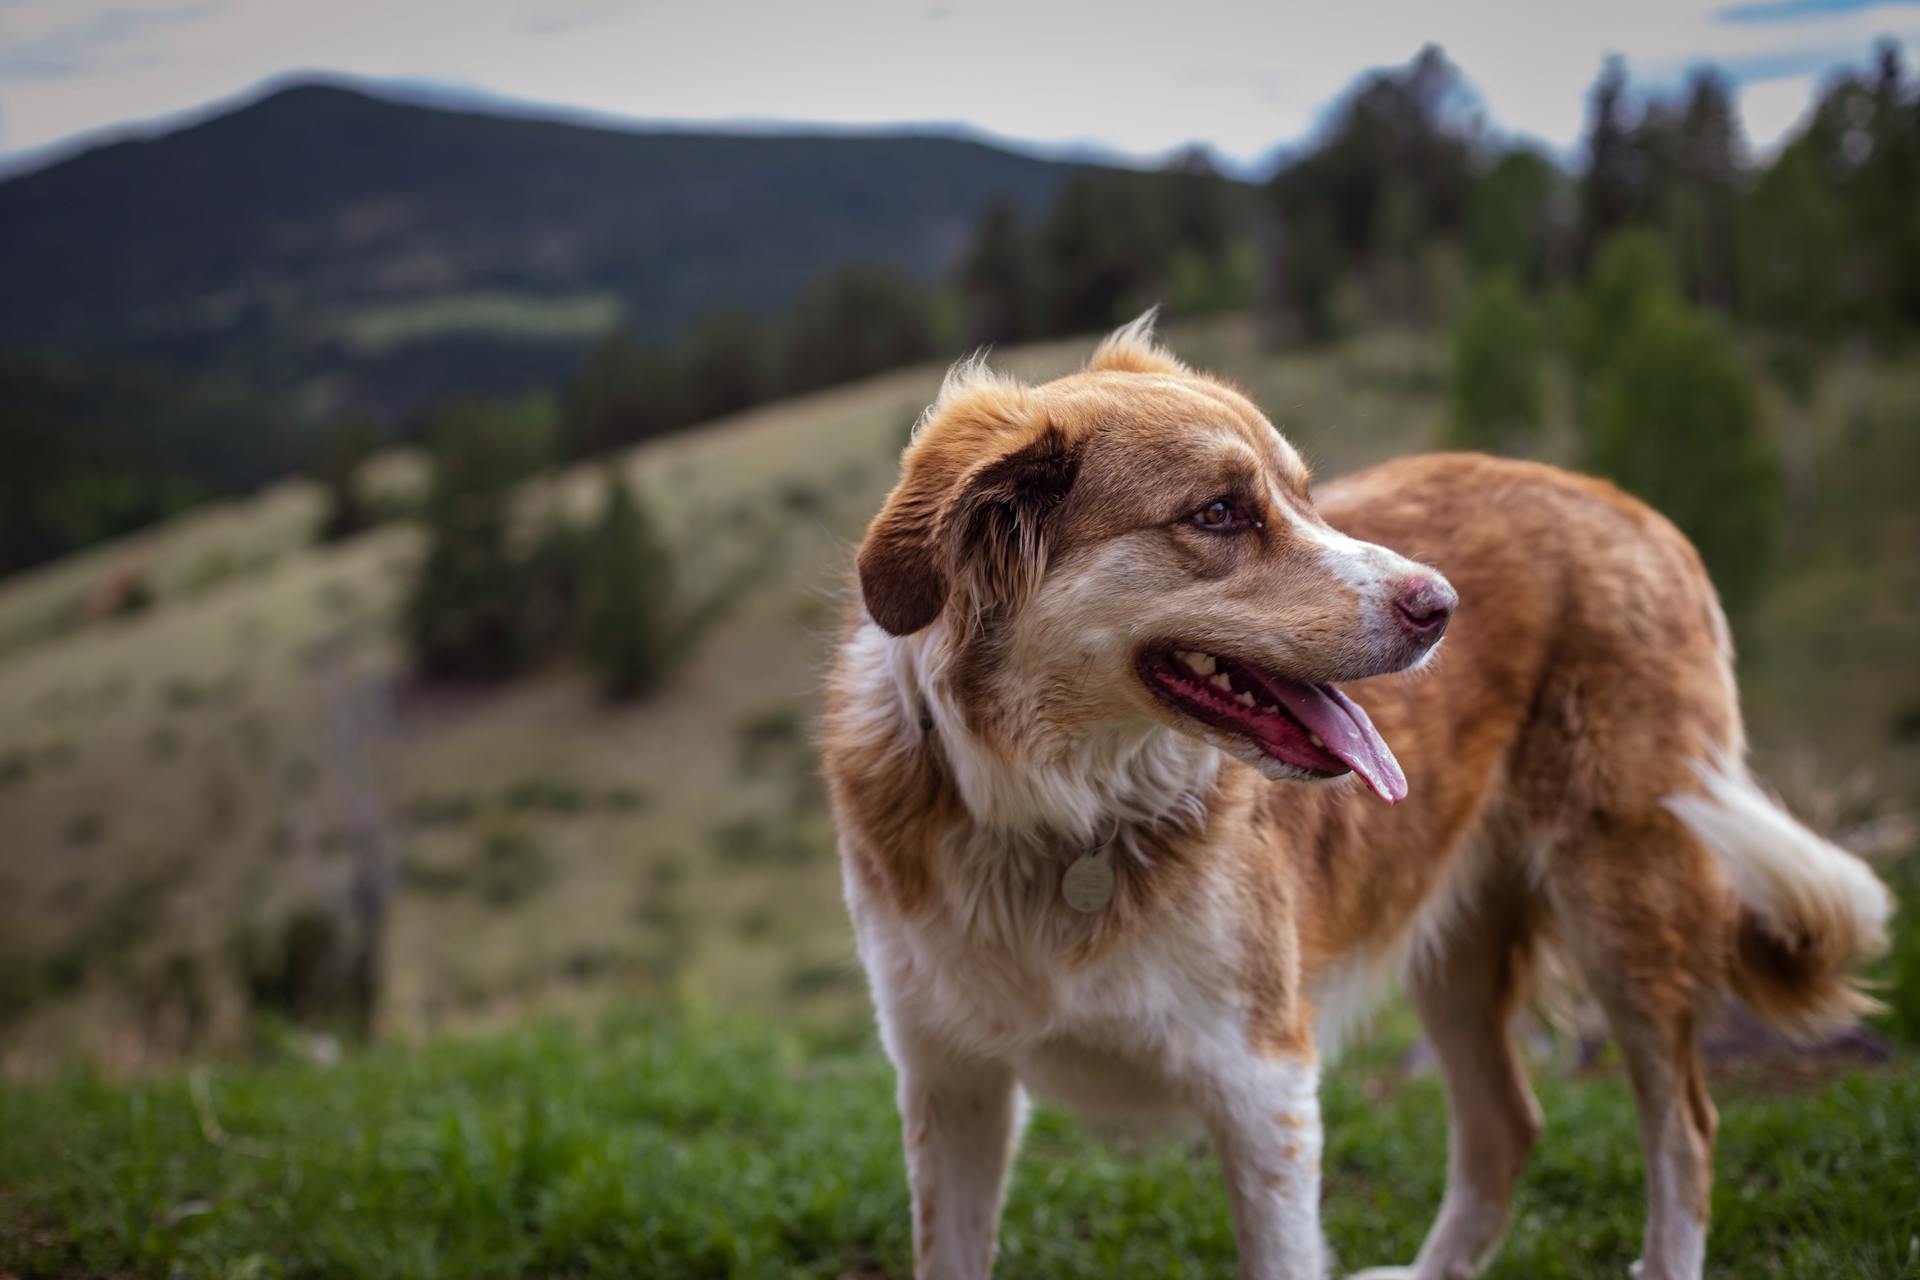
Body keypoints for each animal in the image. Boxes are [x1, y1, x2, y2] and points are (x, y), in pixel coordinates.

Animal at [821, 312, 1889, 1280]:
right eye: (1219, 513)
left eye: (1304, 496)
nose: (1443, 608)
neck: (1056, 811)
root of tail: (1625, 504)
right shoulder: (949, 1084)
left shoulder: (1264, 1085)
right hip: (1457, 937)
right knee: (1507, 1124)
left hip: (1629, 905)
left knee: (1685, 1129)